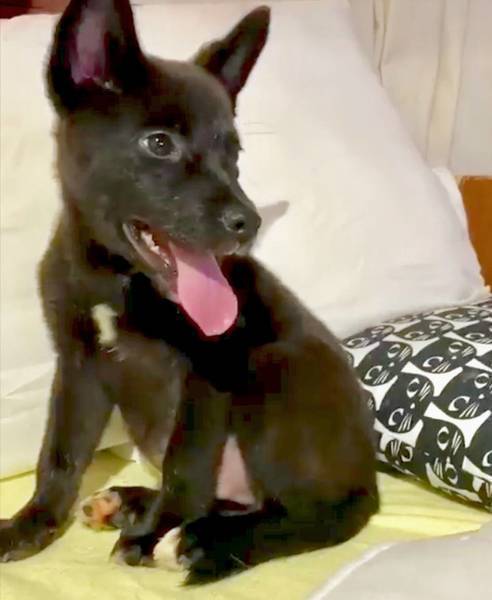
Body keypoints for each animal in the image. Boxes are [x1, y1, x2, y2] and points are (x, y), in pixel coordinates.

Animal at [0, 0, 378, 583]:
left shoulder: (208, 371)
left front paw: (154, 532)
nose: (248, 224)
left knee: (314, 515)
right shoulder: (79, 366)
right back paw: (132, 504)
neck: (117, 277)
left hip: (271, 369)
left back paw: (210, 542)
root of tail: (369, 482)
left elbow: (186, 463)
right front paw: (31, 524)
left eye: (235, 153)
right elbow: (59, 455)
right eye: (159, 144)